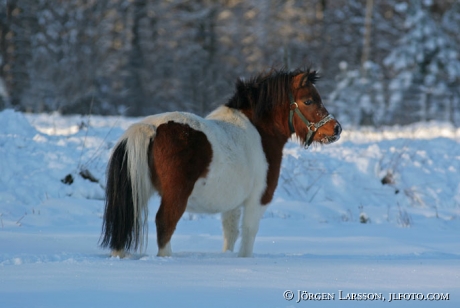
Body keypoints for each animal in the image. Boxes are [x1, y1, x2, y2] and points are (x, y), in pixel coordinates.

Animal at [100, 67, 342, 258]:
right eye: (308, 100)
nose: (336, 129)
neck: (259, 132)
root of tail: (152, 127)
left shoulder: (233, 204)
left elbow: (230, 234)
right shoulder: (258, 199)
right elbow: (248, 234)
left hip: (137, 191)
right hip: (175, 195)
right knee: (165, 224)